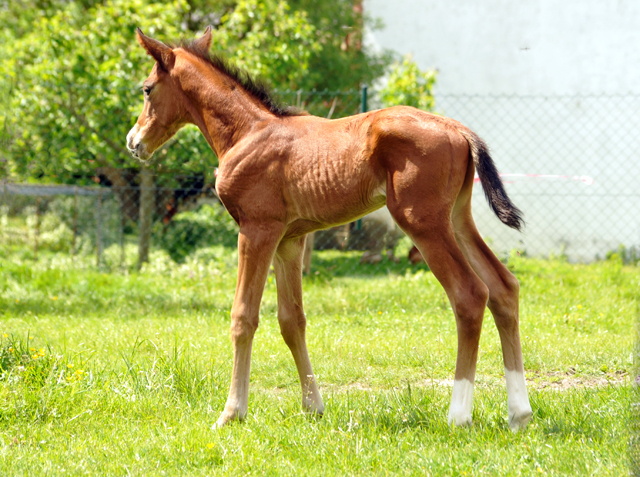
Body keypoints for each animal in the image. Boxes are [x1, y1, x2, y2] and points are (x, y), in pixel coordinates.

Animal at [127, 27, 532, 430]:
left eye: (147, 89)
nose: (134, 141)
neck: (247, 133)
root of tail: (460, 129)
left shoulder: (257, 230)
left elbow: (243, 316)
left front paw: (232, 412)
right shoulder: (289, 240)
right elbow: (291, 320)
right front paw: (313, 406)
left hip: (423, 222)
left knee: (469, 294)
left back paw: (459, 414)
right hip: (458, 219)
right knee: (503, 287)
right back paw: (519, 412)